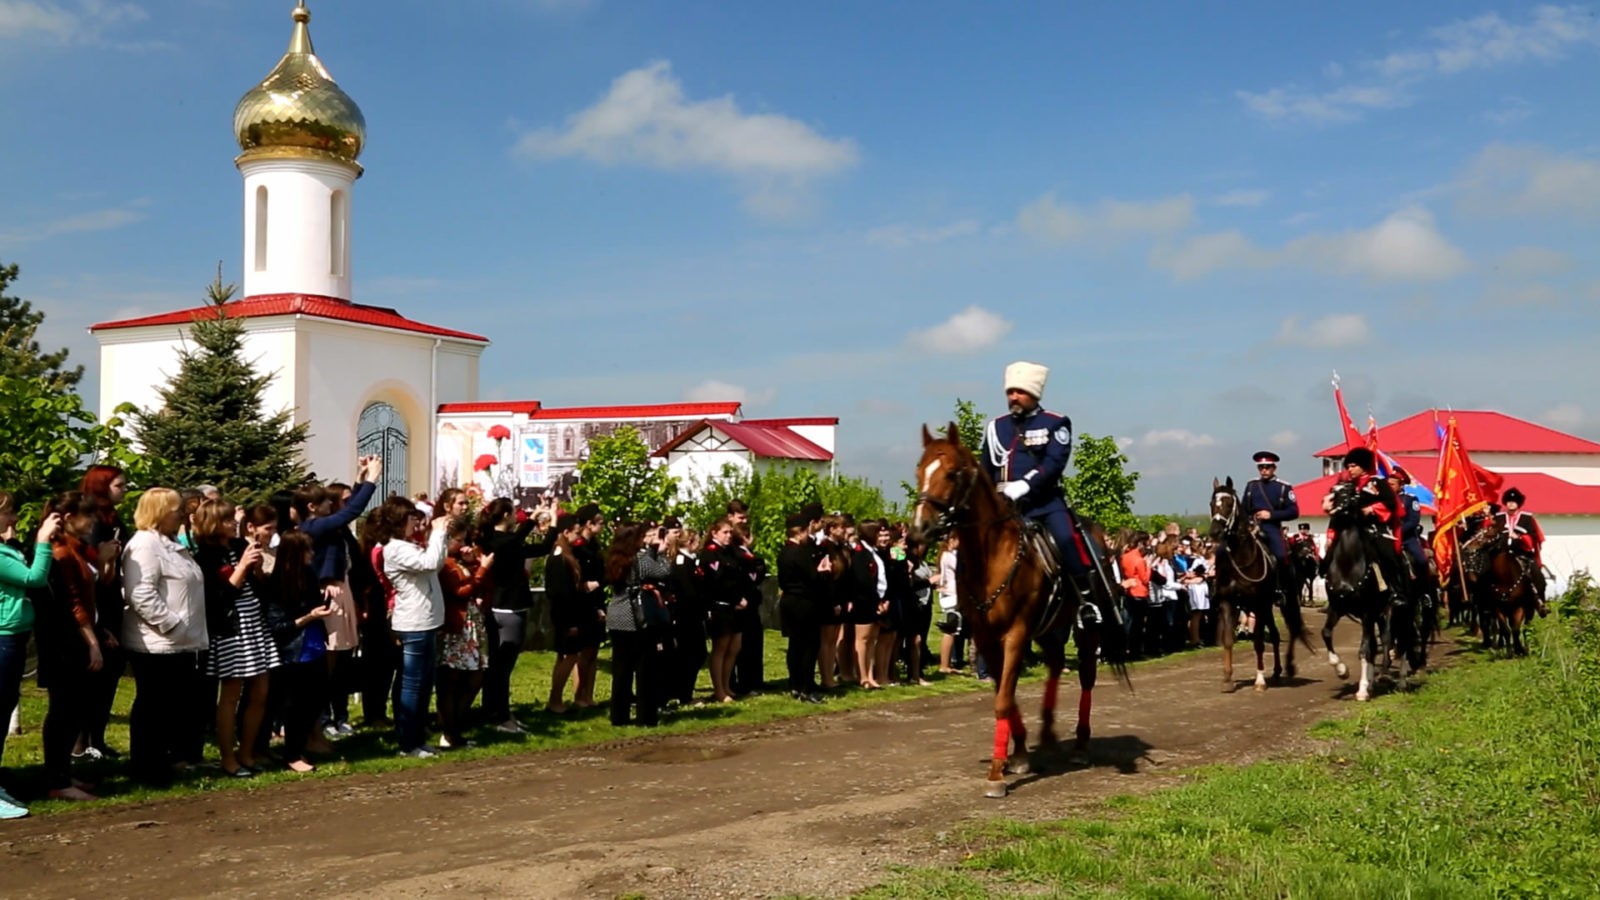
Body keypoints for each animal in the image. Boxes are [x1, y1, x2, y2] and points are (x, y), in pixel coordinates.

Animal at [908, 419, 1132, 791]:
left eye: (952, 473)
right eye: (919, 470)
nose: (917, 533)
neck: (991, 555)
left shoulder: (1015, 633)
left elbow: (1003, 698)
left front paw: (997, 773)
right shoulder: (985, 637)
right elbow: (1005, 694)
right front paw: (1020, 754)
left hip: (1085, 629)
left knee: (1086, 675)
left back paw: (1080, 744)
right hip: (1049, 628)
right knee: (1055, 664)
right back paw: (1048, 732)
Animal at [1203, 480, 1305, 688]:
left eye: (1229, 503)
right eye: (1212, 503)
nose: (1215, 533)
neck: (1240, 558)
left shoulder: (1258, 604)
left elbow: (1258, 642)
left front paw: (1259, 680)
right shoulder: (1228, 603)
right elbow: (1228, 639)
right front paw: (1228, 676)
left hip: (1286, 601)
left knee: (1292, 629)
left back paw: (1289, 667)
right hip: (1267, 607)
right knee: (1274, 634)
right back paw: (1276, 670)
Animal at [1318, 480, 1408, 698]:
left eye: (1349, 491)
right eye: (1332, 489)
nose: (1327, 503)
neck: (1347, 565)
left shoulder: (1367, 613)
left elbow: (1364, 650)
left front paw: (1362, 690)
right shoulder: (1337, 608)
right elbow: (1326, 633)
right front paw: (1341, 669)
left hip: (1397, 610)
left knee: (1398, 640)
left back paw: (1397, 679)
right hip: (1380, 614)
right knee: (1384, 640)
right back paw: (1379, 678)